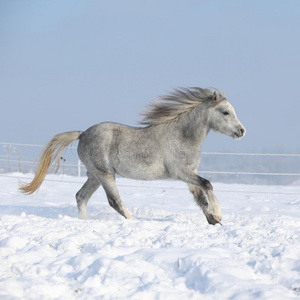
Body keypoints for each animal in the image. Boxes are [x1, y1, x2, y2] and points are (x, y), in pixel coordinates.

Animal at [20, 87, 246, 225]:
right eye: (225, 112)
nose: (242, 131)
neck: (181, 136)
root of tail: (82, 133)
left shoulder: (190, 173)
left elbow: (201, 197)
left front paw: (213, 219)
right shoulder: (181, 172)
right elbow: (208, 184)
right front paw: (218, 214)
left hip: (95, 175)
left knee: (81, 196)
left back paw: (85, 221)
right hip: (105, 175)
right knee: (114, 201)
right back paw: (134, 221)